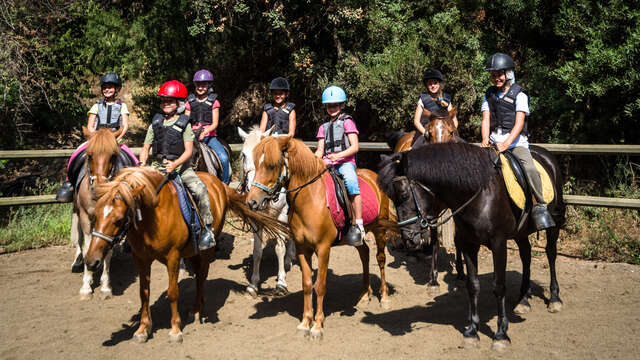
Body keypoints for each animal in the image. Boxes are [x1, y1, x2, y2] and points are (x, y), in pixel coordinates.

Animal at [84, 167, 288, 344]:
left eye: (118, 220)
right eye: (94, 216)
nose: (91, 261)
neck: (152, 217)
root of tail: (219, 184)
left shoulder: (173, 257)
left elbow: (173, 292)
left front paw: (175, 330)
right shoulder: (140, 258)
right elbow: (144, 293)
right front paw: (142, 329)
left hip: (206, 250)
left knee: (202, 276)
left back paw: (197, 309)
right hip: (192, 252)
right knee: (198, 275)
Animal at [238, 125, 296, 296]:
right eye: (244, 155)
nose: (251, 188)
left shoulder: (281, 215)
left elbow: (280, 248)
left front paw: (281, 282)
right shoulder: (255, 219)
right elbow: (257, 251)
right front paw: (253, 284)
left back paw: (289, 259)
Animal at [244, 136, 396, 340]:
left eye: (271, 165)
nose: (251, 201)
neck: (310, 199)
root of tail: (374, 176)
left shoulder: (323, 249)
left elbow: (320, 285)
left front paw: (317, 326)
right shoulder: (302, 249)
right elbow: (308, 284)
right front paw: (304, 323)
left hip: (380, 230)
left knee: (380, 259)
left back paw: (384, 297)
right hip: (356, 238)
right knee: (364, 253)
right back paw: (365, 295)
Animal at [378, 143, 568, 348]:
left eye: (404, 195)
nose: (409, 240)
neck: (479, 194)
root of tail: (545, 154)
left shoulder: (498, 243)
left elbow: (499, 286)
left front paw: (501, 334)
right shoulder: (469, 245)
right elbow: (473, 285)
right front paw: (472, 331)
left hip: (554, 223)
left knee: (550, 254)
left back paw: (554, 299)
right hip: (521, 232)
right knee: (526, 255)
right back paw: (523, 300)